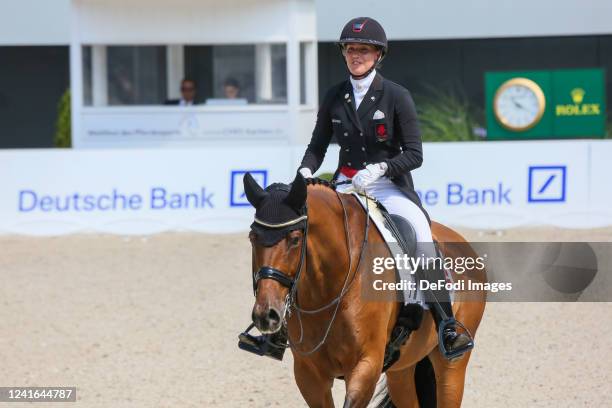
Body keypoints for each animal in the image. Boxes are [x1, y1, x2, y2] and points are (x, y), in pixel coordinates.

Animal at [241, 173, 486, 408]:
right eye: (253, 237)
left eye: (294, 239)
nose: (266, 315)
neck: (329, 287)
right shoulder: (308, 374)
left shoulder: (366, 366)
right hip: (401, 369)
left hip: (450, 368)